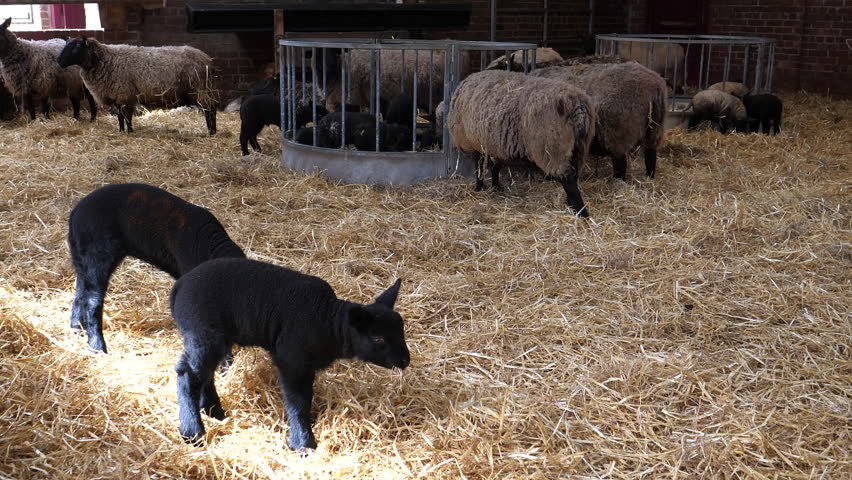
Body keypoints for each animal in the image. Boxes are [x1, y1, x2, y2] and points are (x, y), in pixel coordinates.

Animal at [57, 37, 218, 135]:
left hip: (200, 90)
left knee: (210, 110)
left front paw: (130, 132)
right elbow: (120, 117)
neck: (106, 60)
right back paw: (212, 131)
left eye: (76, 47)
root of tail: (207, 59)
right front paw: (121, 131)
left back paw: (212, 132)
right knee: (210, 110)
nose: (59, 61)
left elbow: (127, 116)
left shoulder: (125, 95)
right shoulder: (117, 96)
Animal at [68, 183, 245, 354]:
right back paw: (98, 348)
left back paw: (76, 331)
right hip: (97, 256)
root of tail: (75, 215)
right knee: (92, 301)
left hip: (82, 260)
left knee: (80, 294)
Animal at [169, 257, 410, 450]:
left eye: (401, 330)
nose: (406, 360)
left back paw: (214, 411)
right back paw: (192, 432)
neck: (329, 324)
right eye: (378, 338)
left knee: (204, 373)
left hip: (213, 338)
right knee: (188, 375)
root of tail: (180, 286)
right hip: (203, 332)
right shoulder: (291, 359)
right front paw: (303, 442)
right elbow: (298, 402)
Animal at [447, 70, 596, 217]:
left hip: (554, 149)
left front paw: (479, 189)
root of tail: (577, 106)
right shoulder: (496, 145)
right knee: (574, 175)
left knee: (568, 180)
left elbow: (480, 169)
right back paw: (571, 204)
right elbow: (495, 167)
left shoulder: (475, 145)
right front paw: (495, 187)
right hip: (579, 148)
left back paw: (581, 212)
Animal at [530, 59, 667, 180]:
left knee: (620, 164)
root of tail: (654, 87)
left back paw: (618, 183)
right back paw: (649, 178)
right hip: (655, 129)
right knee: (650, 155)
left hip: (619, 134)